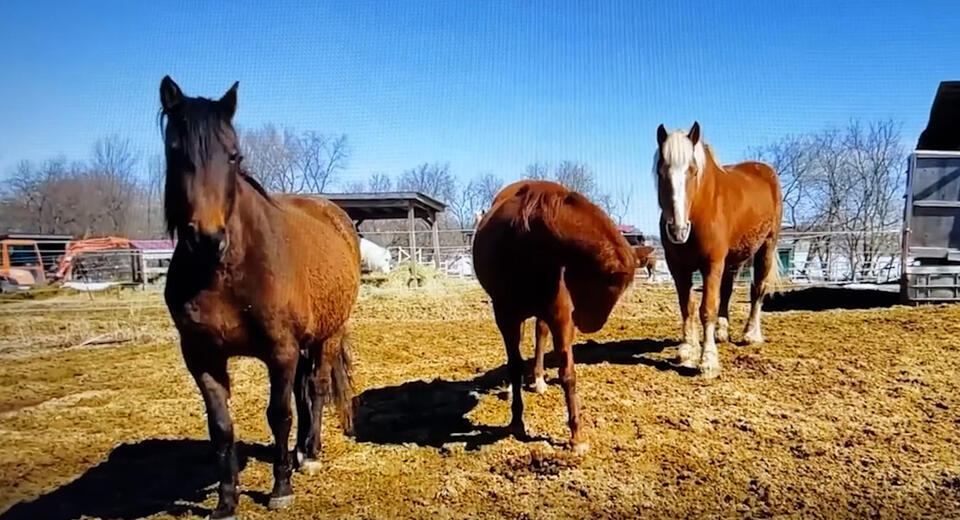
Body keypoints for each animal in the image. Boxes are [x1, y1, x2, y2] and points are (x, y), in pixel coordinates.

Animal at [159, 76, 360, 519]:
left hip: (328, 334)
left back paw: (311, 453)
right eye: (174, 151)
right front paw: (226, 500)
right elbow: (221, 428)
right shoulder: (201, 357)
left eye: (234, 156)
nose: (207, 238)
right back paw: (301, 451)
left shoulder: (280, 350)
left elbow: (278, 414)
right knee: (304, 392)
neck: (225, 271)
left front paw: (280, 489)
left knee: (316, 387)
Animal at [473, 180, 636, 453]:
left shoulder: (560, 316)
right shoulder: (505, 316)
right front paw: (517, 422)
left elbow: (567, 373)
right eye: (608, 287)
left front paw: (577, 437)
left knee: (540, 334)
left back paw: (538, 379)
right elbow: (514, 365)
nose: (589, 324)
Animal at [654, 122, 782, 379]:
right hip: (733, 258)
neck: (701, 211)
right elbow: (687, 306)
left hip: (766, 247)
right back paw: (723, 331)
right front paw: (687, 350)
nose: (678, 230)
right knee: (728, 290)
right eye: (661, 171)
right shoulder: (677, 266)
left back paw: (751, 334)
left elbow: (707, 309)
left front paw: (708, 361)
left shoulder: (712, 264)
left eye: (693, 171)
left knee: (758, 289)